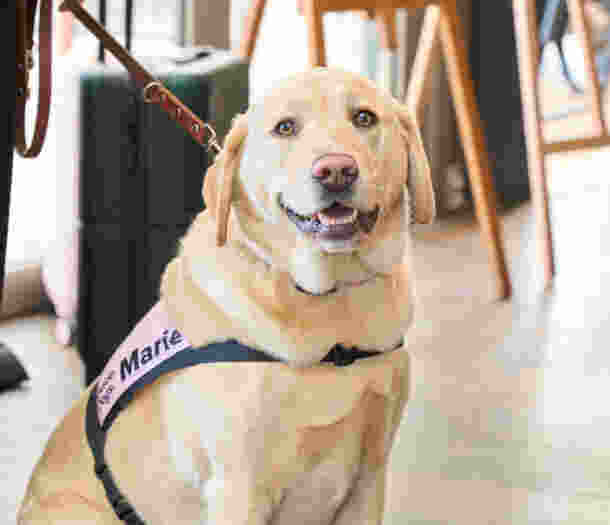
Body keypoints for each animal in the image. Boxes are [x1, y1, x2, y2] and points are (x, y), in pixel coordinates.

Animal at [15, 68, 432, 524]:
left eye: (364, 118)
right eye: (285, 128)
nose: (336, 170)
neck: (329, 307)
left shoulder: (369, 480)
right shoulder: (238, 490)